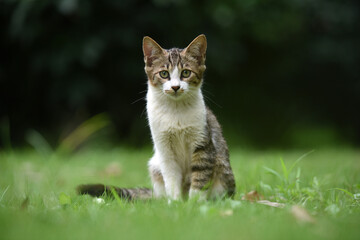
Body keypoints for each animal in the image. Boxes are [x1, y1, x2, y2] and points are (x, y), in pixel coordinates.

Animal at [78, 34, 236, 201]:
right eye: (164, 74)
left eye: (186, 73)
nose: (175, 87)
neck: (175, 110)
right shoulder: (164, 147)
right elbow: (171, 178)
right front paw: (175, 203)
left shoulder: (203, 142)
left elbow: (200, 177)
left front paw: (194, 203)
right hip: (155, 165)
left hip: (222, 171)